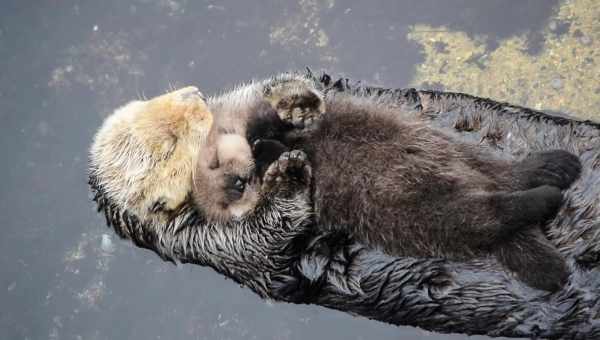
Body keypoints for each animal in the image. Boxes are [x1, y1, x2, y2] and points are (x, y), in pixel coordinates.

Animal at [193, 77, 580, 292]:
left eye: (217, 164)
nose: (239, 180)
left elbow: (274, 125)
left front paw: (286, 121)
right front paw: (274, 156)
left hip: (444, 147)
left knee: (502, 173)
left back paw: (554, 168)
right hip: (425, 211)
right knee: (490, 214)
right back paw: (548, 202)